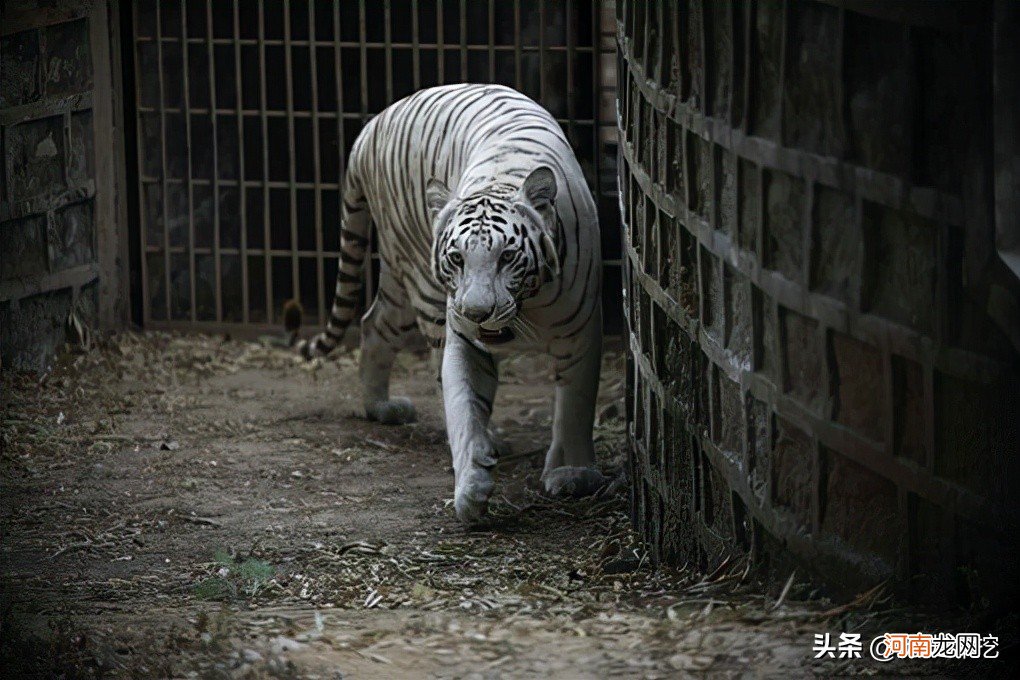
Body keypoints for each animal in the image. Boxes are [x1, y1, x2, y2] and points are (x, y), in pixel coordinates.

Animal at [289, 82, 603, 526]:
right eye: (457, 258)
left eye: (507, 256)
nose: (476, 312)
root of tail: (368, 130)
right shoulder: (464, 339)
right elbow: (463, 407)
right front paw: (472, 485)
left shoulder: (582, 332)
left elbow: (575, 406)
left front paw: (573, 474)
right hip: (420, 282)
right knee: (395, 335)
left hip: (398, 281)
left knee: (374, 323)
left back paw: (379, 406)